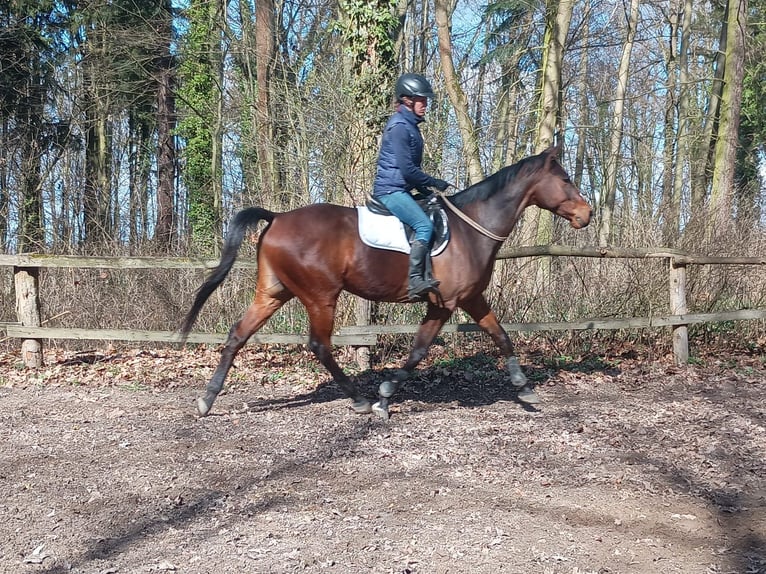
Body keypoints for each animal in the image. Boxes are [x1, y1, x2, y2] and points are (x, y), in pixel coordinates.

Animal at [180, 144, 592, 420]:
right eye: (566, 179)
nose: (587, 214)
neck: (470, 229)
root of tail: (278, 217)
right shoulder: (444, 303)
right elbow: (419, 351)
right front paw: (383, 396)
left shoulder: (471, 298)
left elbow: (501, 335)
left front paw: (524, 386)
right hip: (320, 297)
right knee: (320, 346)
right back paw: (358, 398)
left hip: (273, 294)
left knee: (238, 334)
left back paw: (207, 399)